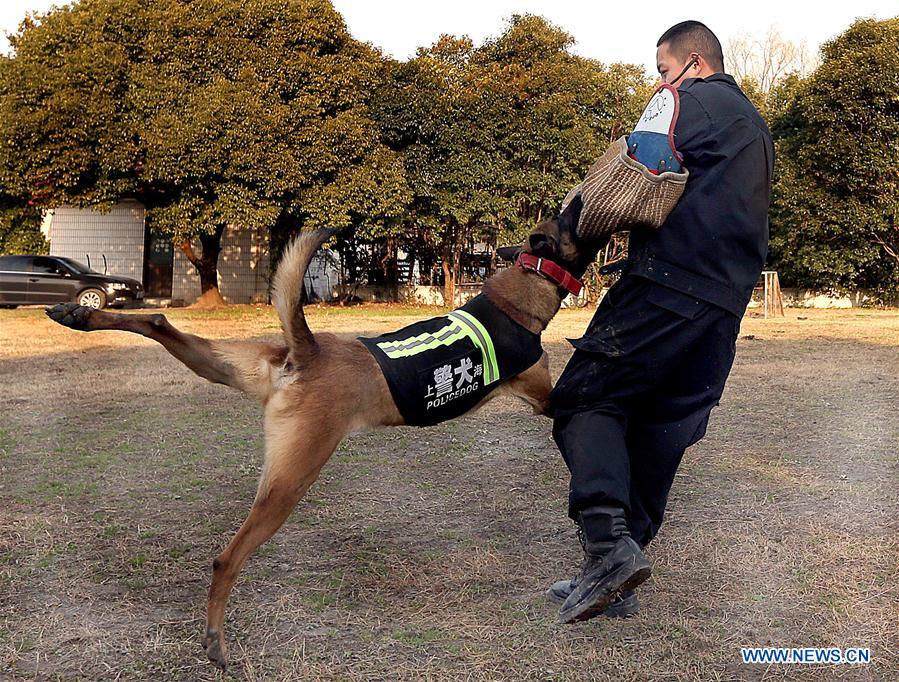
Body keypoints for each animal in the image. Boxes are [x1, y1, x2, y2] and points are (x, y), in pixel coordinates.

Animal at [45, 194, 600, 668]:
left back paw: (77, 313)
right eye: (570, 217)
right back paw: (217, 641)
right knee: (226, 561)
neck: (518, 295)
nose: (583, 198)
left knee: (159, 322)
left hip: (226, 367)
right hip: (289, 481)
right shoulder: (545, 397)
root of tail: (305, 352)